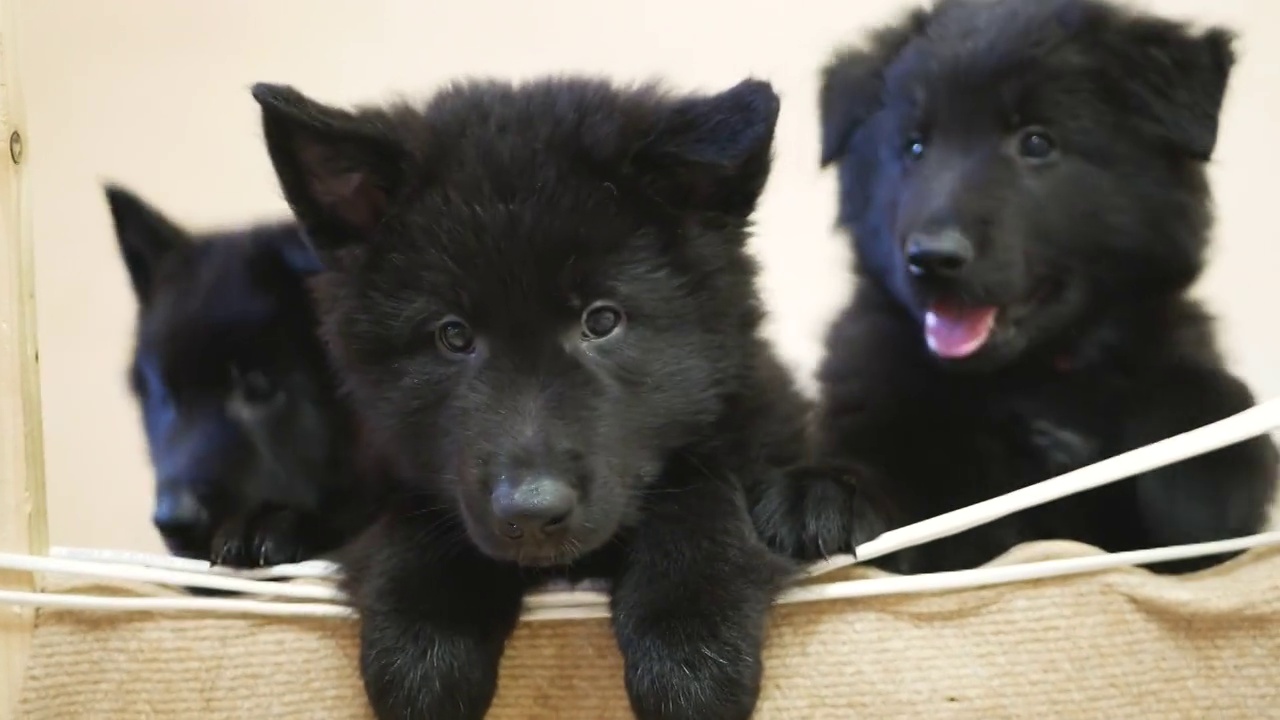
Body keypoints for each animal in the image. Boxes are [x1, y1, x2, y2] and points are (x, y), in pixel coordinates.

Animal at [250, 74, 808, 717]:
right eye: (453, 335)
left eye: (602, 320)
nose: (533, 514)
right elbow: (414, 522)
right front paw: (425, 649)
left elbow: (695, 495)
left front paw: (691, 653)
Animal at [788, 0, 1280, 571]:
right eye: (914, 147)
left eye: (1037, 143)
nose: (932, 258)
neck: (1034, 378)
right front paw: (825, 493)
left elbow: (1211, 413)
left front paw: (1197, 468)